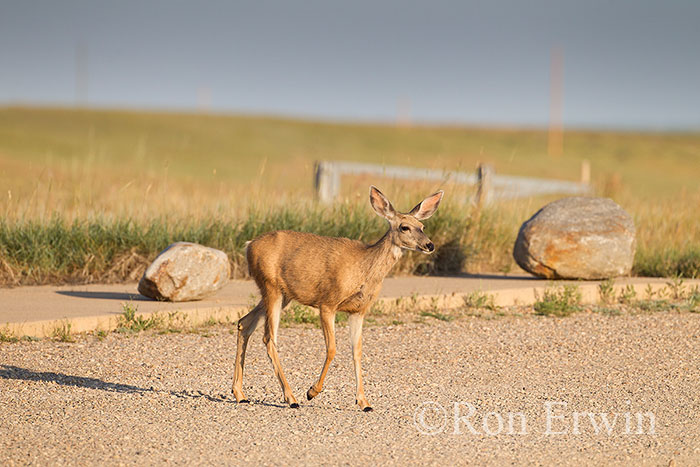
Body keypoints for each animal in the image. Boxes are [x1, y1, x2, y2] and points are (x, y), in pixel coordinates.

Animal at [232, 186, 443, 411]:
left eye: (422, 226)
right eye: (404, 227)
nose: (429, 245)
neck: (364, 269)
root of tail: (248, 245)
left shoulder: (358, 311)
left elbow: (357, 351)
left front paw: (364, 402)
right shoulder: (327, 303)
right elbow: (332, 349)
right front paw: (312, 392)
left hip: (281, 293)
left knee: (245, 323)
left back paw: (240, 394)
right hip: (272, 287)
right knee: (269, 338)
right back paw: (291, 398)